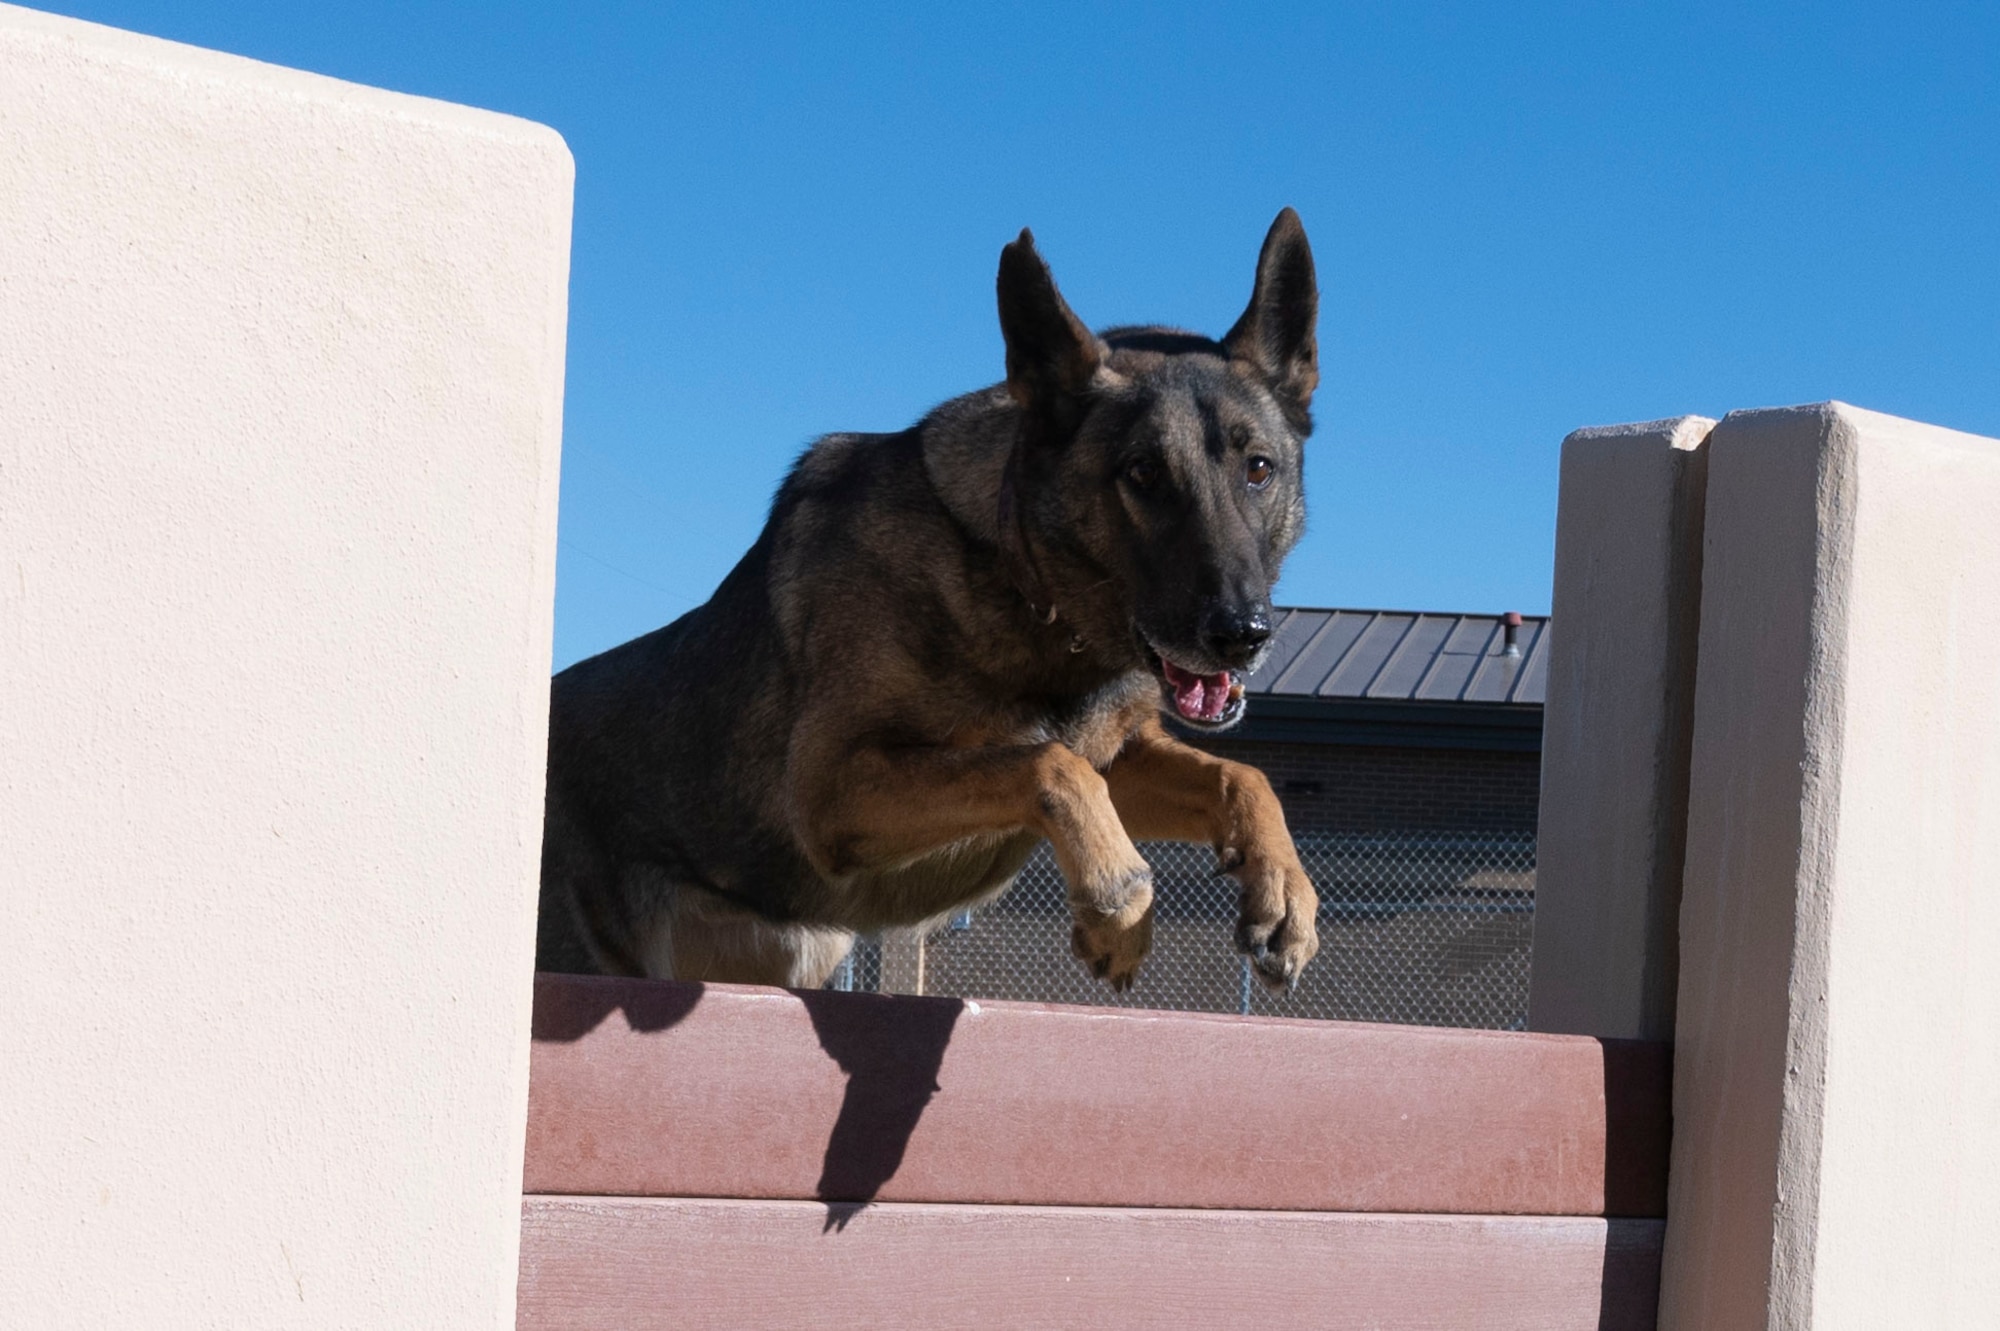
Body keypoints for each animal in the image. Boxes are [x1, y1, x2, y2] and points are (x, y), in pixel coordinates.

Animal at [548, 209, 1320, 983]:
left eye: (1259, 469)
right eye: (1143, 473)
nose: (1243, 634)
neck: (1017, 579)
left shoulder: (1120, 756)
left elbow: (1241, 774)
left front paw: (1285, 889)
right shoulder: (834, 789)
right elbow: (1049, 762)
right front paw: (1115, 901)